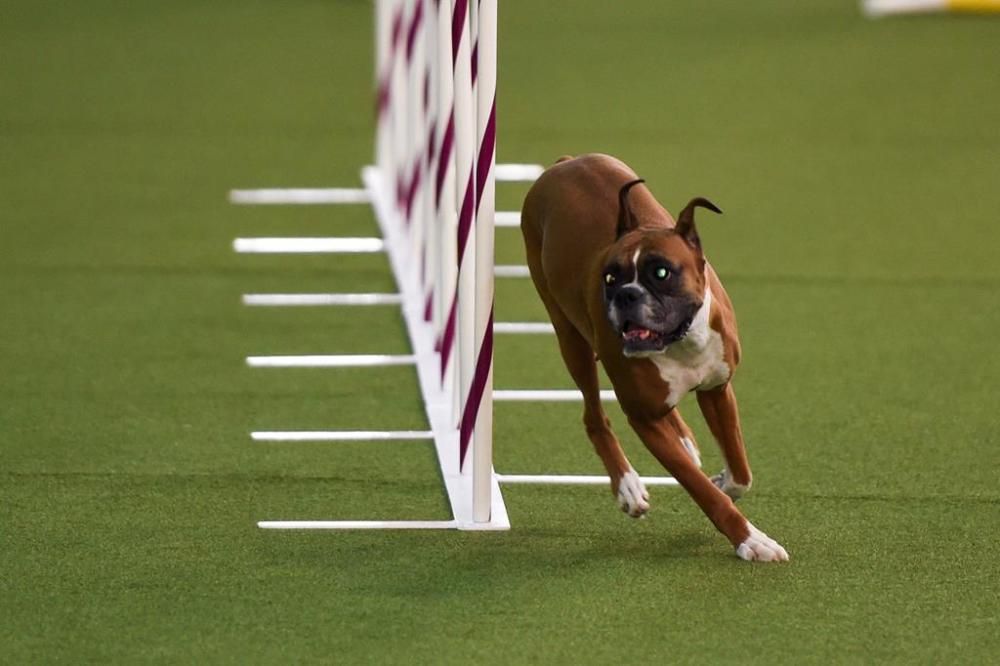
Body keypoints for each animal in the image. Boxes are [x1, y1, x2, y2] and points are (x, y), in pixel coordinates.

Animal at [524, 153, 788, 556]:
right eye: (610, 277)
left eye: (661, 273)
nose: (626, 295)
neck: (681, 341)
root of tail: (566, 162)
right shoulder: (644, 420)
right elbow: (700, 488)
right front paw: (750, 540)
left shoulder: (717, 390)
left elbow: (741, 471)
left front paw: (725, 482)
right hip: (571, 339)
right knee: (594, 416)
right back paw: (628, 486)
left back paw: (683, 438)